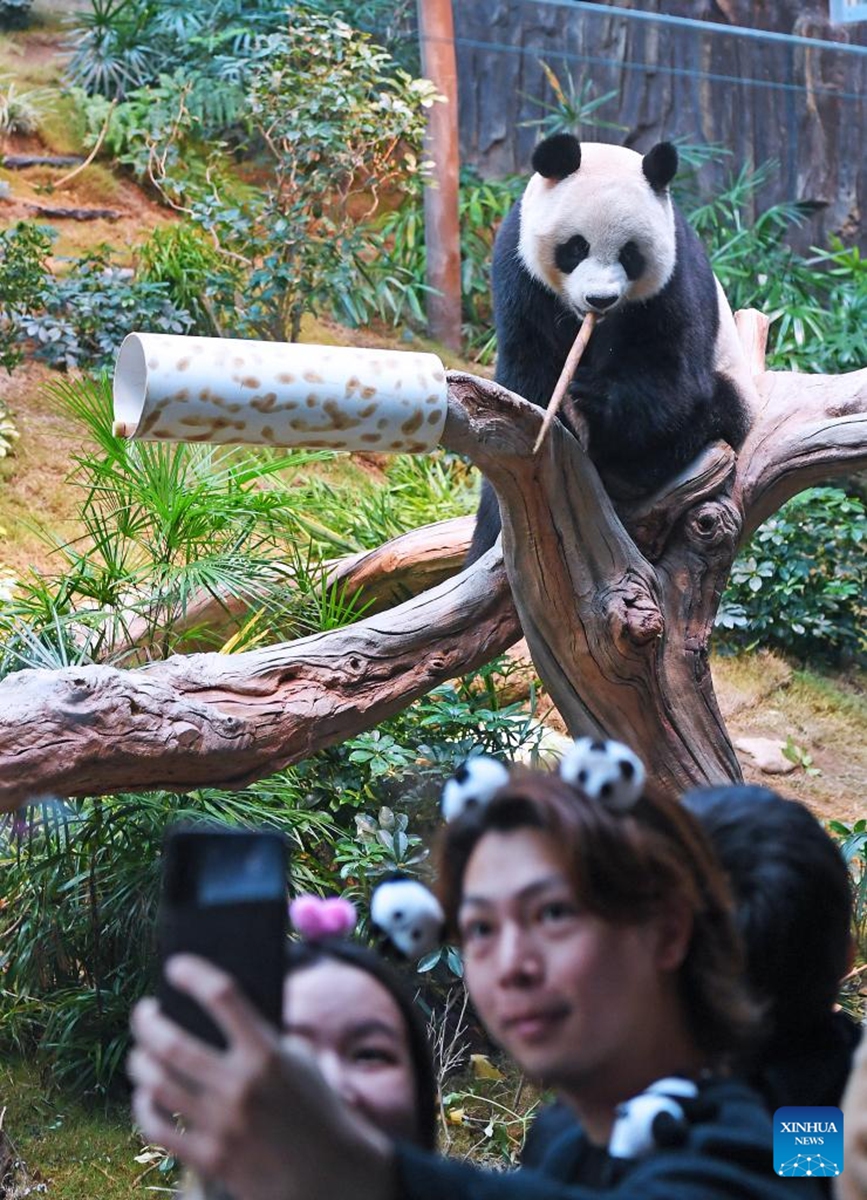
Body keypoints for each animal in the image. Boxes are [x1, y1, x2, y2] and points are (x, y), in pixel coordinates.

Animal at [465, 133, 749, 564]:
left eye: (630, 254)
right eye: (575, 247)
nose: (600, 299)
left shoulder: (675, 278)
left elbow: (674, 377)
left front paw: (593, 394)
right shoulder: (519, 270)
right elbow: (528, 367)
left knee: (716, 410)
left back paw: (625, 475)